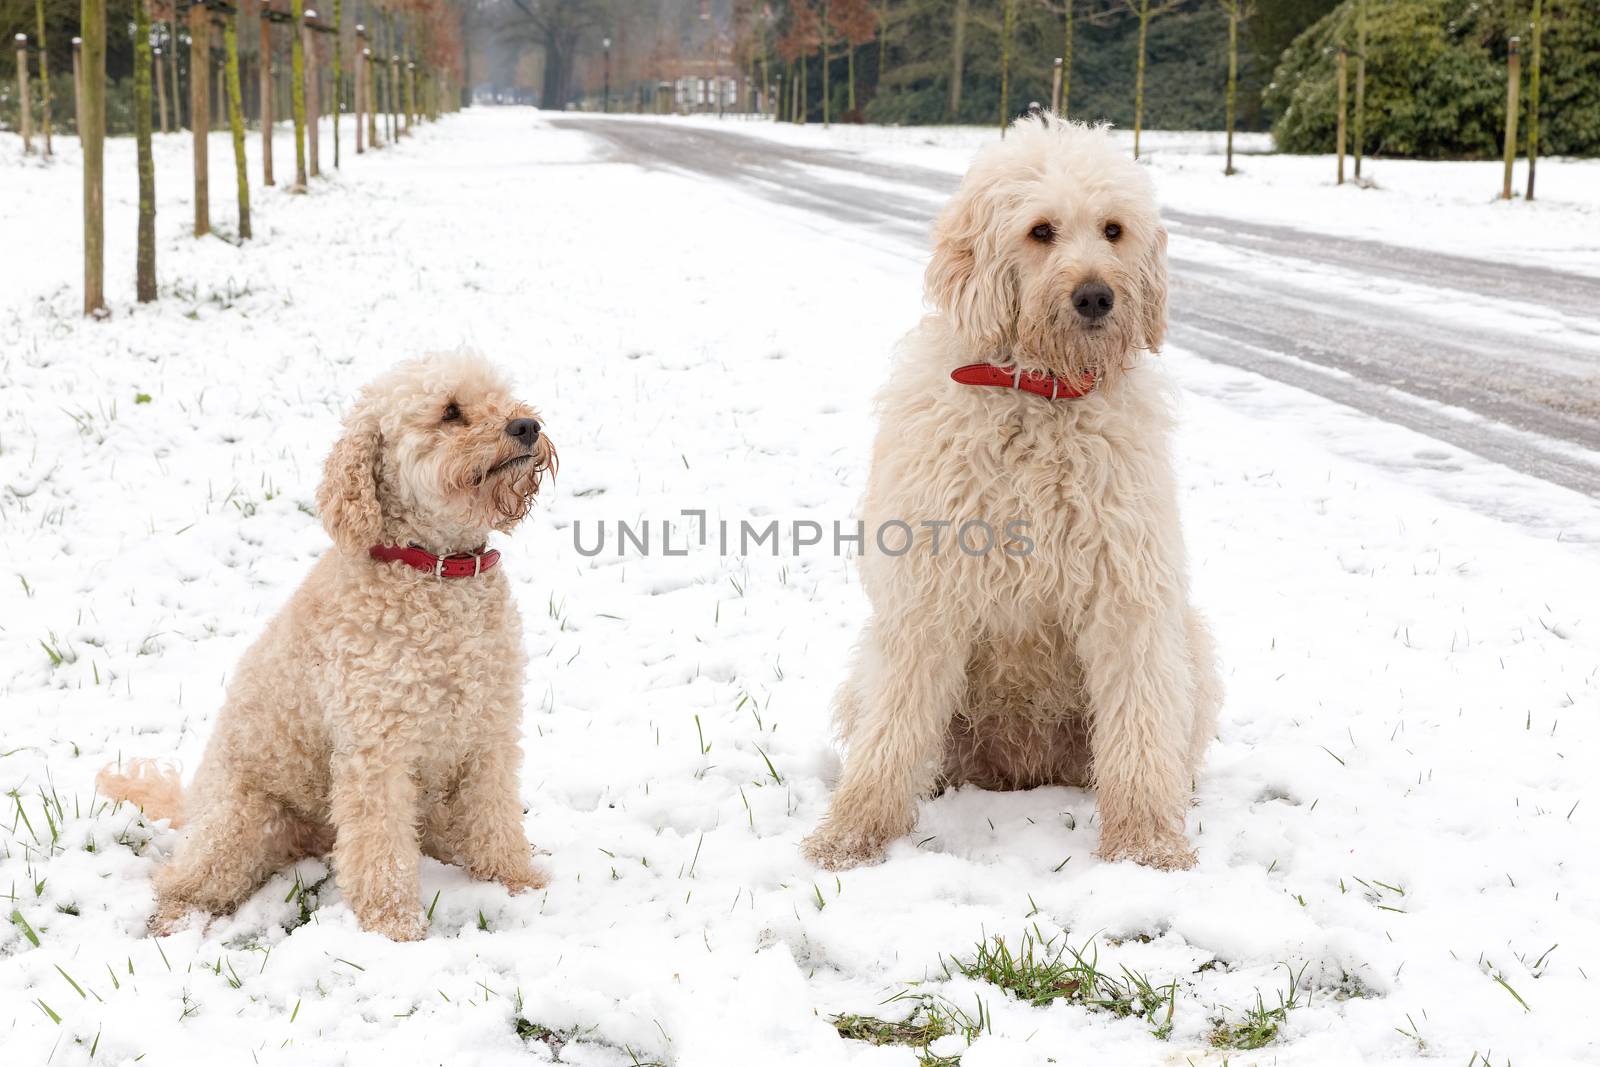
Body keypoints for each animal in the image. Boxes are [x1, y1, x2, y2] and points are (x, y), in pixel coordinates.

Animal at [100, 355, 560, 940]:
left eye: (502, 397)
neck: (435, 573)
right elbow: (381, 851)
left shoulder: (489, 733)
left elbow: (495, 819)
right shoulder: (375, 750)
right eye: (450, 412)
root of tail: (193, 804)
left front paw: (516, 883)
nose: (527, 426)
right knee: (182, 878)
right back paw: (174, 920)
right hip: (239, 820)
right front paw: (395, 929)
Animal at [806, 115, 1216, 870]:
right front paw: (852, 836)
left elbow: (1139, 726)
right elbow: (894, 730)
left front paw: (1147, 845)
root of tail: (1023, 769)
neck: (1039, 396)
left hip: (1191, 647)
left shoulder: (1127, 594)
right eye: (1040, 230)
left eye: (1113, 229)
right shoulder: (926, 596)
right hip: (868, 674)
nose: (1096, 297)